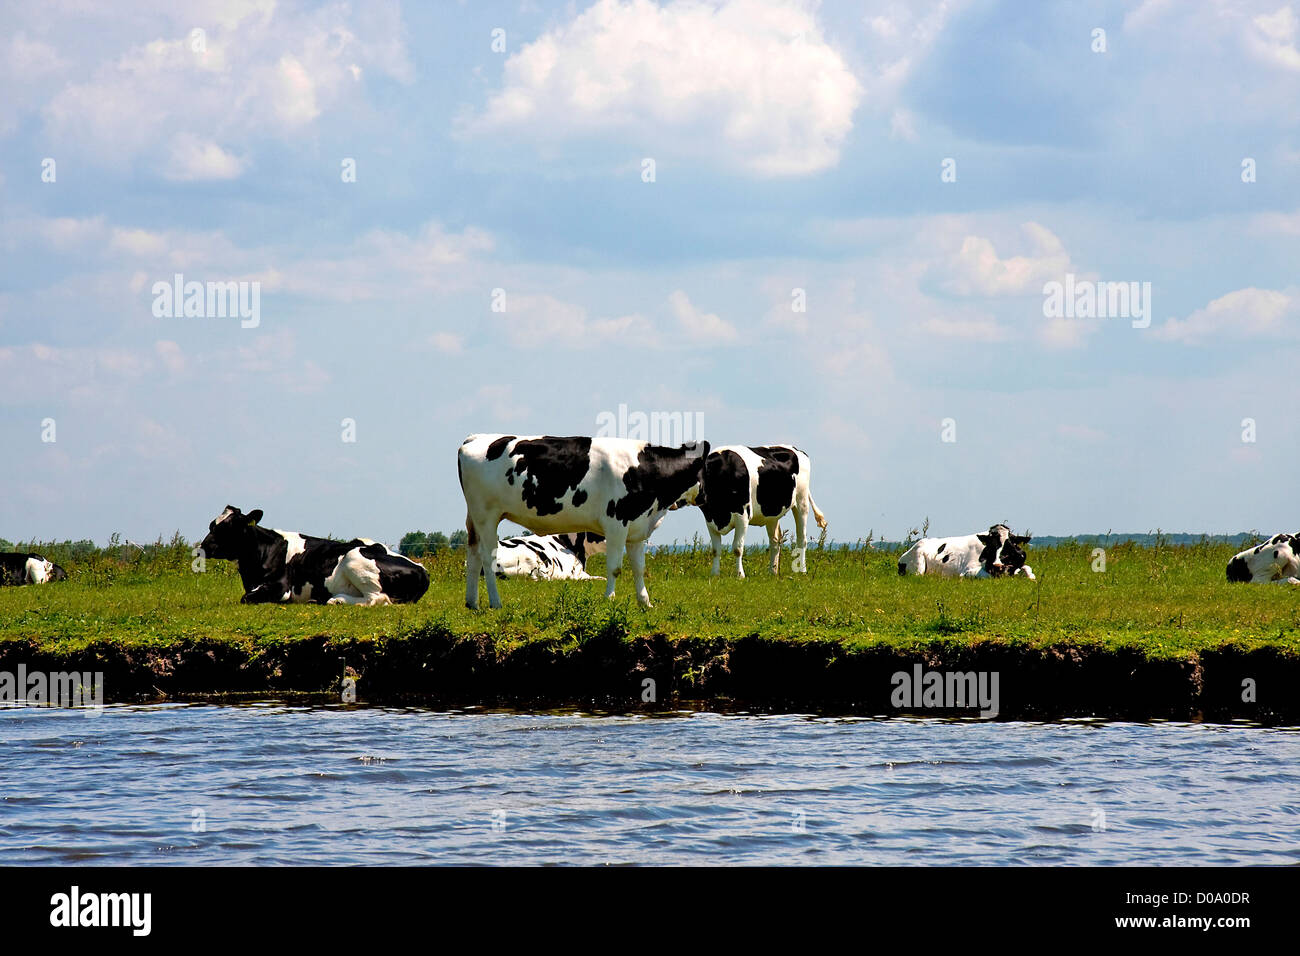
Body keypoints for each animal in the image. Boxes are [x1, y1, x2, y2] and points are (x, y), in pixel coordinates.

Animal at [198, 506, 429, 605]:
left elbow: (245, 598)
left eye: (230, 527)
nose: (204, 546)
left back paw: (336, 600)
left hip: (354, 559)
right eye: (212, 525)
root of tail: (421, 569)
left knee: (376, 599)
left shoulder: (281, 587)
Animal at [458, 434, 709, 609]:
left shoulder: (636, 528)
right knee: (487, 557)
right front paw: (609, 598)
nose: (706, 497)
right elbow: (615, 568)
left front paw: (645, 603)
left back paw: (472, 603)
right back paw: (495, 603)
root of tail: (475, 438)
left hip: (474, 519)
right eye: (707, 470)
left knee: (473, 554)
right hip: (486, 515)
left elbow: (639, 569)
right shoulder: (616, 523)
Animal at [693, 444, 827, 577]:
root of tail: (795, 449)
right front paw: (714, 574)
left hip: (801, 501)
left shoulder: (743, 516)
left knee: (801, 539)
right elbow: (716, 550)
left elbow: (737, 548)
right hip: (772, 513)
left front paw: (740, 575)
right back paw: (772, 571)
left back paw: (802, 571)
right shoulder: (710, 519)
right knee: (775, 541)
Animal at [897, 524, 1035, 579]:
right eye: (990, 546)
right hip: (918, 567)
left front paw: (1030, 577)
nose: (997, 565)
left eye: (1009, 545)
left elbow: (1028, 570)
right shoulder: (967, 571)